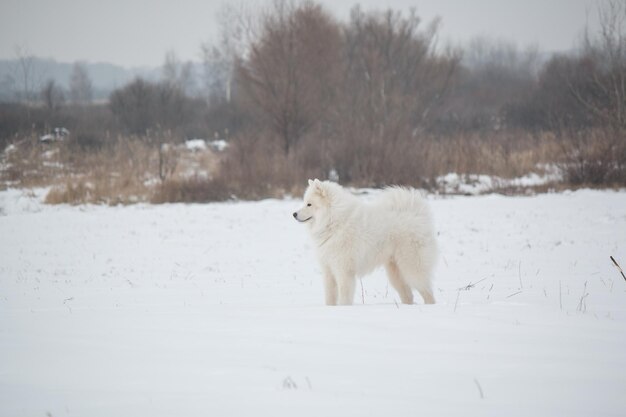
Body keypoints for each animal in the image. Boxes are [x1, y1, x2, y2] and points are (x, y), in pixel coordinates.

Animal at [292, 179, 434, 306]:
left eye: (309, 204)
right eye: (304, 202)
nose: (294, 214)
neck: (333, 221)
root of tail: (417, 215)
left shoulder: (344, 271)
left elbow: (344, 297)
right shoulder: (328, 270)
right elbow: (330, 297)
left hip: (412, 268)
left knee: (428, 293)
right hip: (395, 272)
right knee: (408, 295)